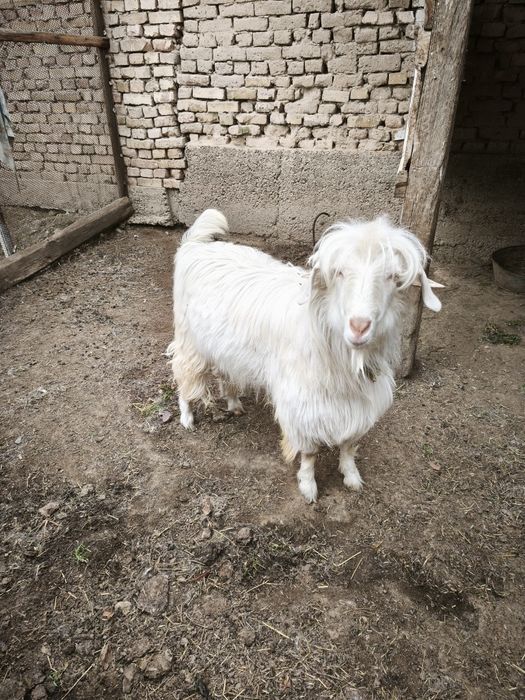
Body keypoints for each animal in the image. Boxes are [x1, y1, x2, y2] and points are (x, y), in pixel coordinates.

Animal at [167, 209, 442, 503]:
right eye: (339, 273)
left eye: (392, 276)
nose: (359, 326)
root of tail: (194, 247)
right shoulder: (303, 404)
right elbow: (309, 453)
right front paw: (308, 487)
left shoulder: (359, 405)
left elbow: (349, 445)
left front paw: (352, 477)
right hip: (189, 340)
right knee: (183, 374)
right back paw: (187, 418)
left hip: (221, 345)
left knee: (225, 372)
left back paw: (233, 403)